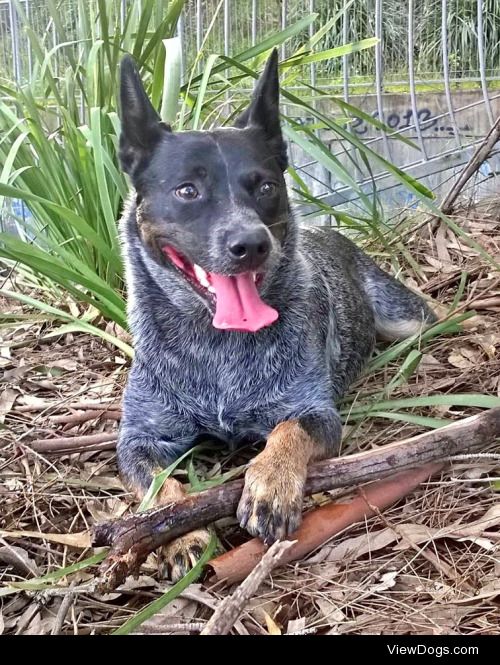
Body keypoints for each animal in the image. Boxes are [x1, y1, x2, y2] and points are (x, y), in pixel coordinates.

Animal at [115, 50, 436, 580]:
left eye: (264, 186)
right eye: (187, 191)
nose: (251, 244)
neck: (217, 349)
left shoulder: (314, 410)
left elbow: (289, 432)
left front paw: (270, 484)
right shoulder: (140, 437)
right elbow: (158, 485)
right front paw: (176, 531)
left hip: (408, 318)